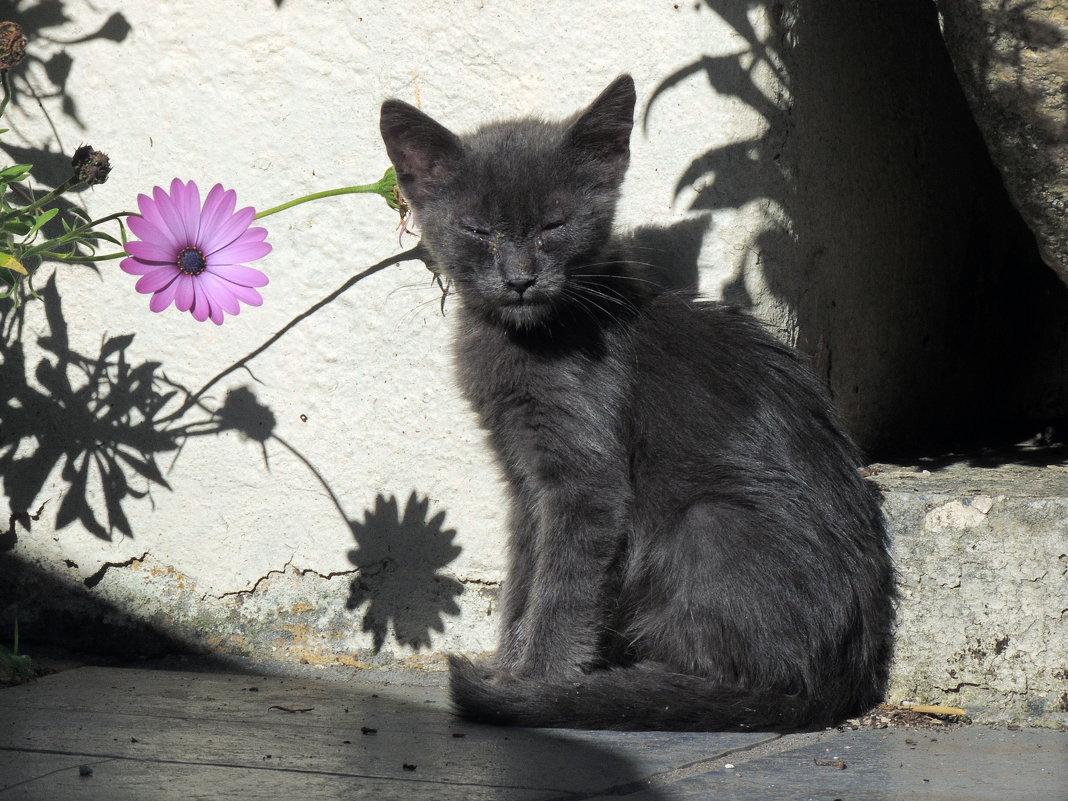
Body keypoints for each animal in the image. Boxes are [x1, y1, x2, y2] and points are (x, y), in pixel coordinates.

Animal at [378, 75, 892, 734]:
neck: (531, 337)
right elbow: (525, 576)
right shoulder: (524, 475)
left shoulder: (586, 476)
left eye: (553, 225)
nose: (519, 278)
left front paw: (534, 682)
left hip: (704, 524)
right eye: (479, 230)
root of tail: (836, 685)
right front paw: (510, 664)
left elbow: (563, 590)